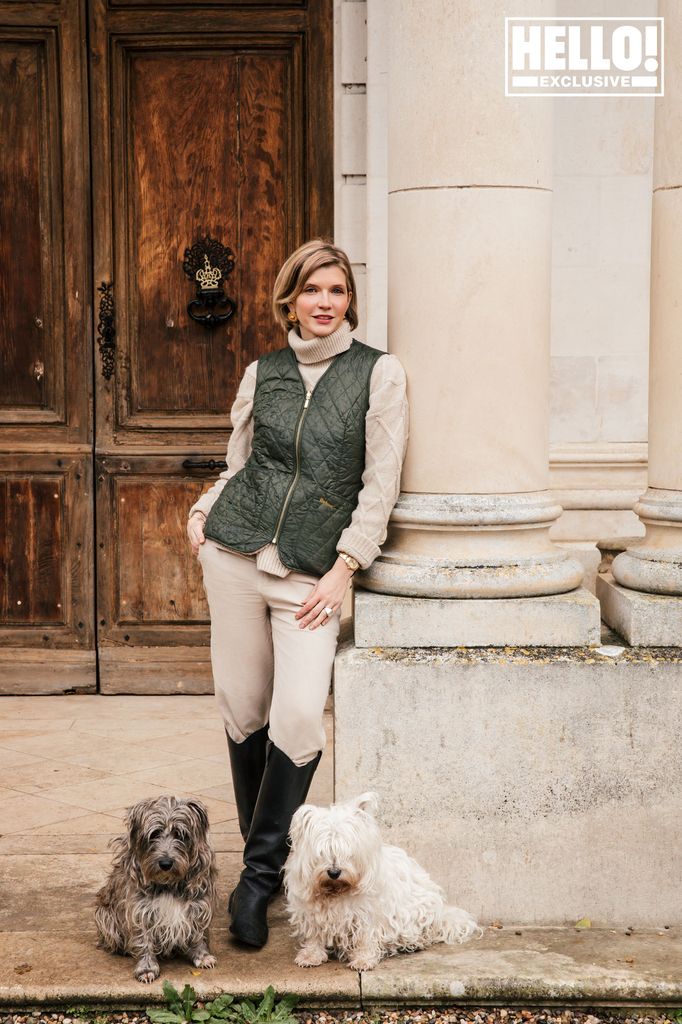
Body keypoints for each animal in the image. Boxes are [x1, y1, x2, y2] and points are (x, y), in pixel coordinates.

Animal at [94, 794, 216, 978]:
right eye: (154, 834)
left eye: (180, 834)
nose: (165, 863)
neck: (168, 884)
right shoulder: (140, 911)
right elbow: (144, 940)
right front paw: (146, 968)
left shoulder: (198, 905)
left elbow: (198, 933)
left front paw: (202, 956)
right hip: (105, 916)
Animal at [284, 786, 481, 970]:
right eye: (322, 852)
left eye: (348, 852)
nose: (334, 872)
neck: (337, 890)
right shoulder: (311, 913)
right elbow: (314, 935)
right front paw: (311, 955)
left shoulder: (367, 914)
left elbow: (365, 937)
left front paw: (363, 960)